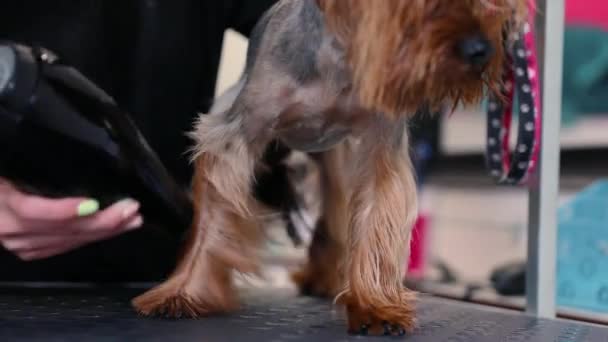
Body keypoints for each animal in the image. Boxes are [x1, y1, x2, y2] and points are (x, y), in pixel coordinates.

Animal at [132, 0, 528, 336]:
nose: (482, 49)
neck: (340, 63)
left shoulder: (380, 143)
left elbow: (376, 220)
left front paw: (374, 306)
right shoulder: (234, 132)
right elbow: (213, 220)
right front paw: (183, 293)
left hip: (336, 156)